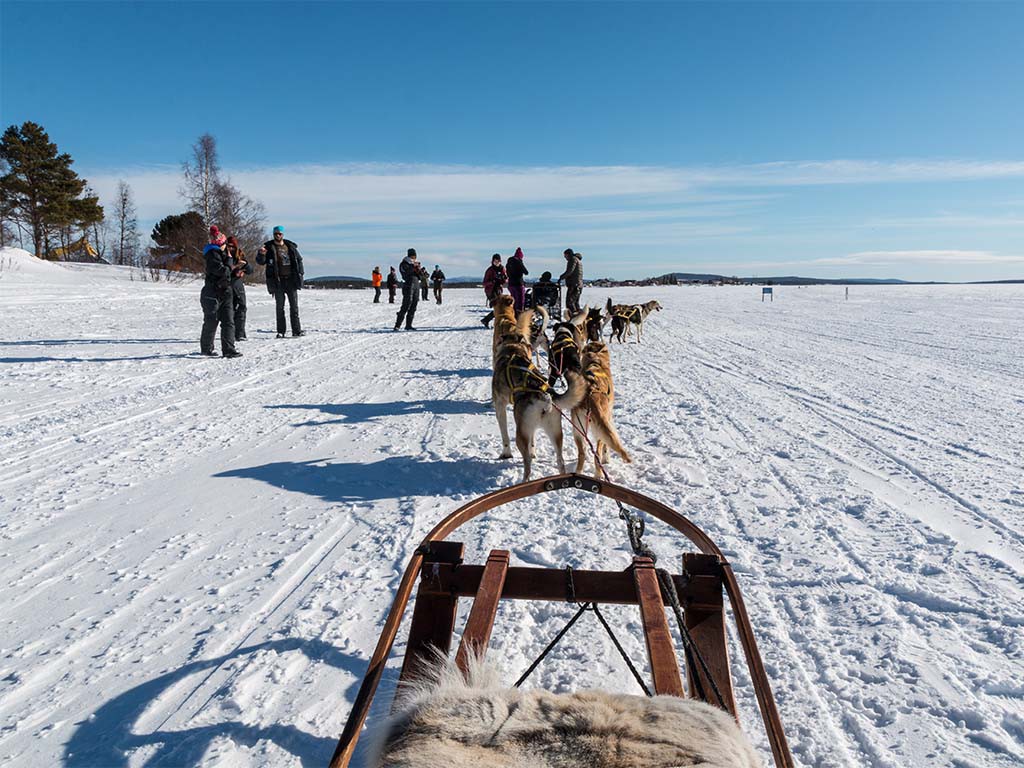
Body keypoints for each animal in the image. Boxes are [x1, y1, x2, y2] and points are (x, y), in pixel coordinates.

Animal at [489, 313, 581, 481]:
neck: (512, 349)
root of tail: (545, 397)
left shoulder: (500, 406)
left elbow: (504, 434)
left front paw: (506, 454)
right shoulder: (530, 429)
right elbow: (533, 442)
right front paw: (533, 452)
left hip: (521, 434)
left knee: (528, 466)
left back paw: (523, 481)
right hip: (555, 433)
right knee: (560, 461)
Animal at [573, 342, 626, 475]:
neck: (595, 361)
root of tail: (589, 398)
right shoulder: (608, 417)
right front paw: (606, 459)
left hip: (578, 429)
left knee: (582, 452)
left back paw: (579, 471)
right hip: (600, 427)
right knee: (597, 453)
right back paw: (599, 474)